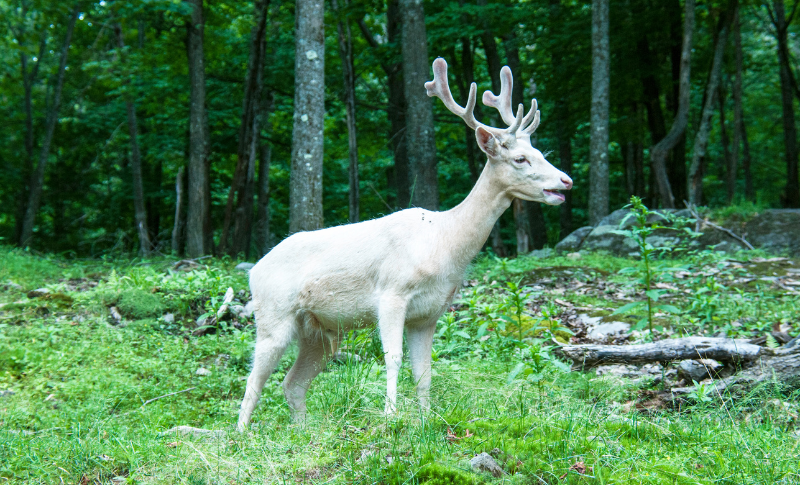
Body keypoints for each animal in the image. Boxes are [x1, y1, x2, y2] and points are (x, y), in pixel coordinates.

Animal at [234, 57, 572, 432]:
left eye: (539, 152)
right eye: (520, 159)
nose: (566, 181)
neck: (444, 244)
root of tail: (254, 271)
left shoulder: (429, 314)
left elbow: (424, 371)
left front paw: (426, 420)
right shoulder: (392, 293)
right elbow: (392, 358)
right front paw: (390, 417)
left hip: (321, 332)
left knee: (292, 383)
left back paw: (303, 432)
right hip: (273, 315)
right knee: (253, 381)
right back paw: (241, 434)